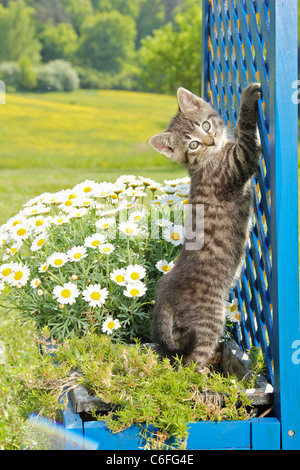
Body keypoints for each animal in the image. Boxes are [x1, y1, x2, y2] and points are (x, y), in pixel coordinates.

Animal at [149, 83, 262, 370]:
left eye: (206, 125)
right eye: (193, 144)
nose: (210, 140)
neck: (210, 158)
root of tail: (163, 294)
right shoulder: (238, 162)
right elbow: (247, 135)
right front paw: (247, 99)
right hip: (209, 318)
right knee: (190, 362)